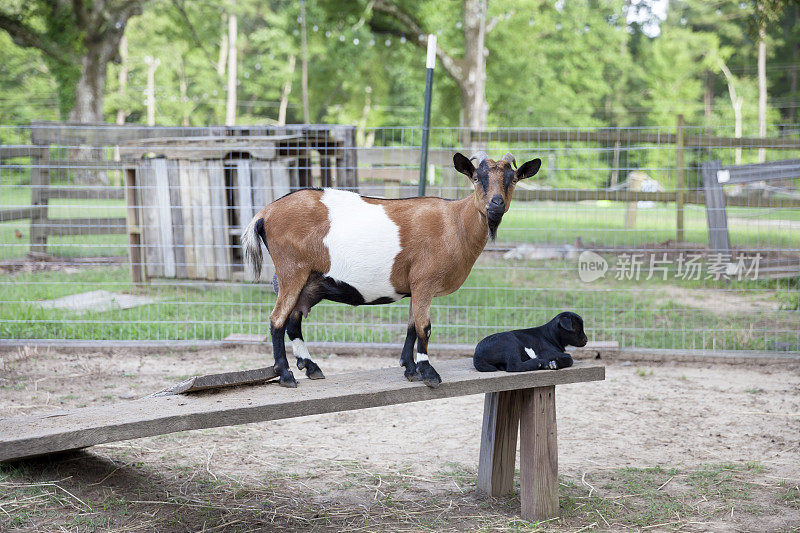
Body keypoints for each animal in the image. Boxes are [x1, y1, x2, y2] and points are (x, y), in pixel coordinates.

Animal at [242, 150, 544, 386]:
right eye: (477, 178)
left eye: (512, 179)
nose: (496, 204)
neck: (454, 223)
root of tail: (265, 213)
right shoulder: (424, 282)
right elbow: (424, 327)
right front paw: (428, 372)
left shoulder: (416, 287)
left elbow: (411, 326)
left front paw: (410, 370)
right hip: (291, 270)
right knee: (277, 319)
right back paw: (286, 375)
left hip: (311, 281)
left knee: (294, 320)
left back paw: (312, 367)